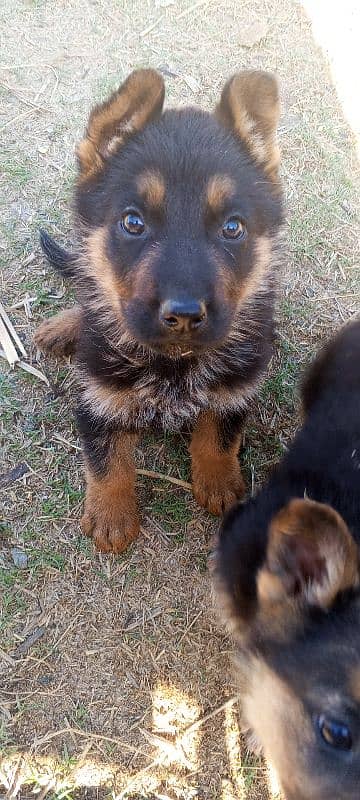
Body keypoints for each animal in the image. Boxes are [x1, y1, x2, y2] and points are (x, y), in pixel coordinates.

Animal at [36, 67, 284, 552]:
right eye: (133, 222)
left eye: (233, 228)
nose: (184, 315)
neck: (174, 363)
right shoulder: (98, 394)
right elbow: (106, 459)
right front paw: (111, 516)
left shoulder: (236, 386)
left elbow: (219, 436)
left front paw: (219, 483)